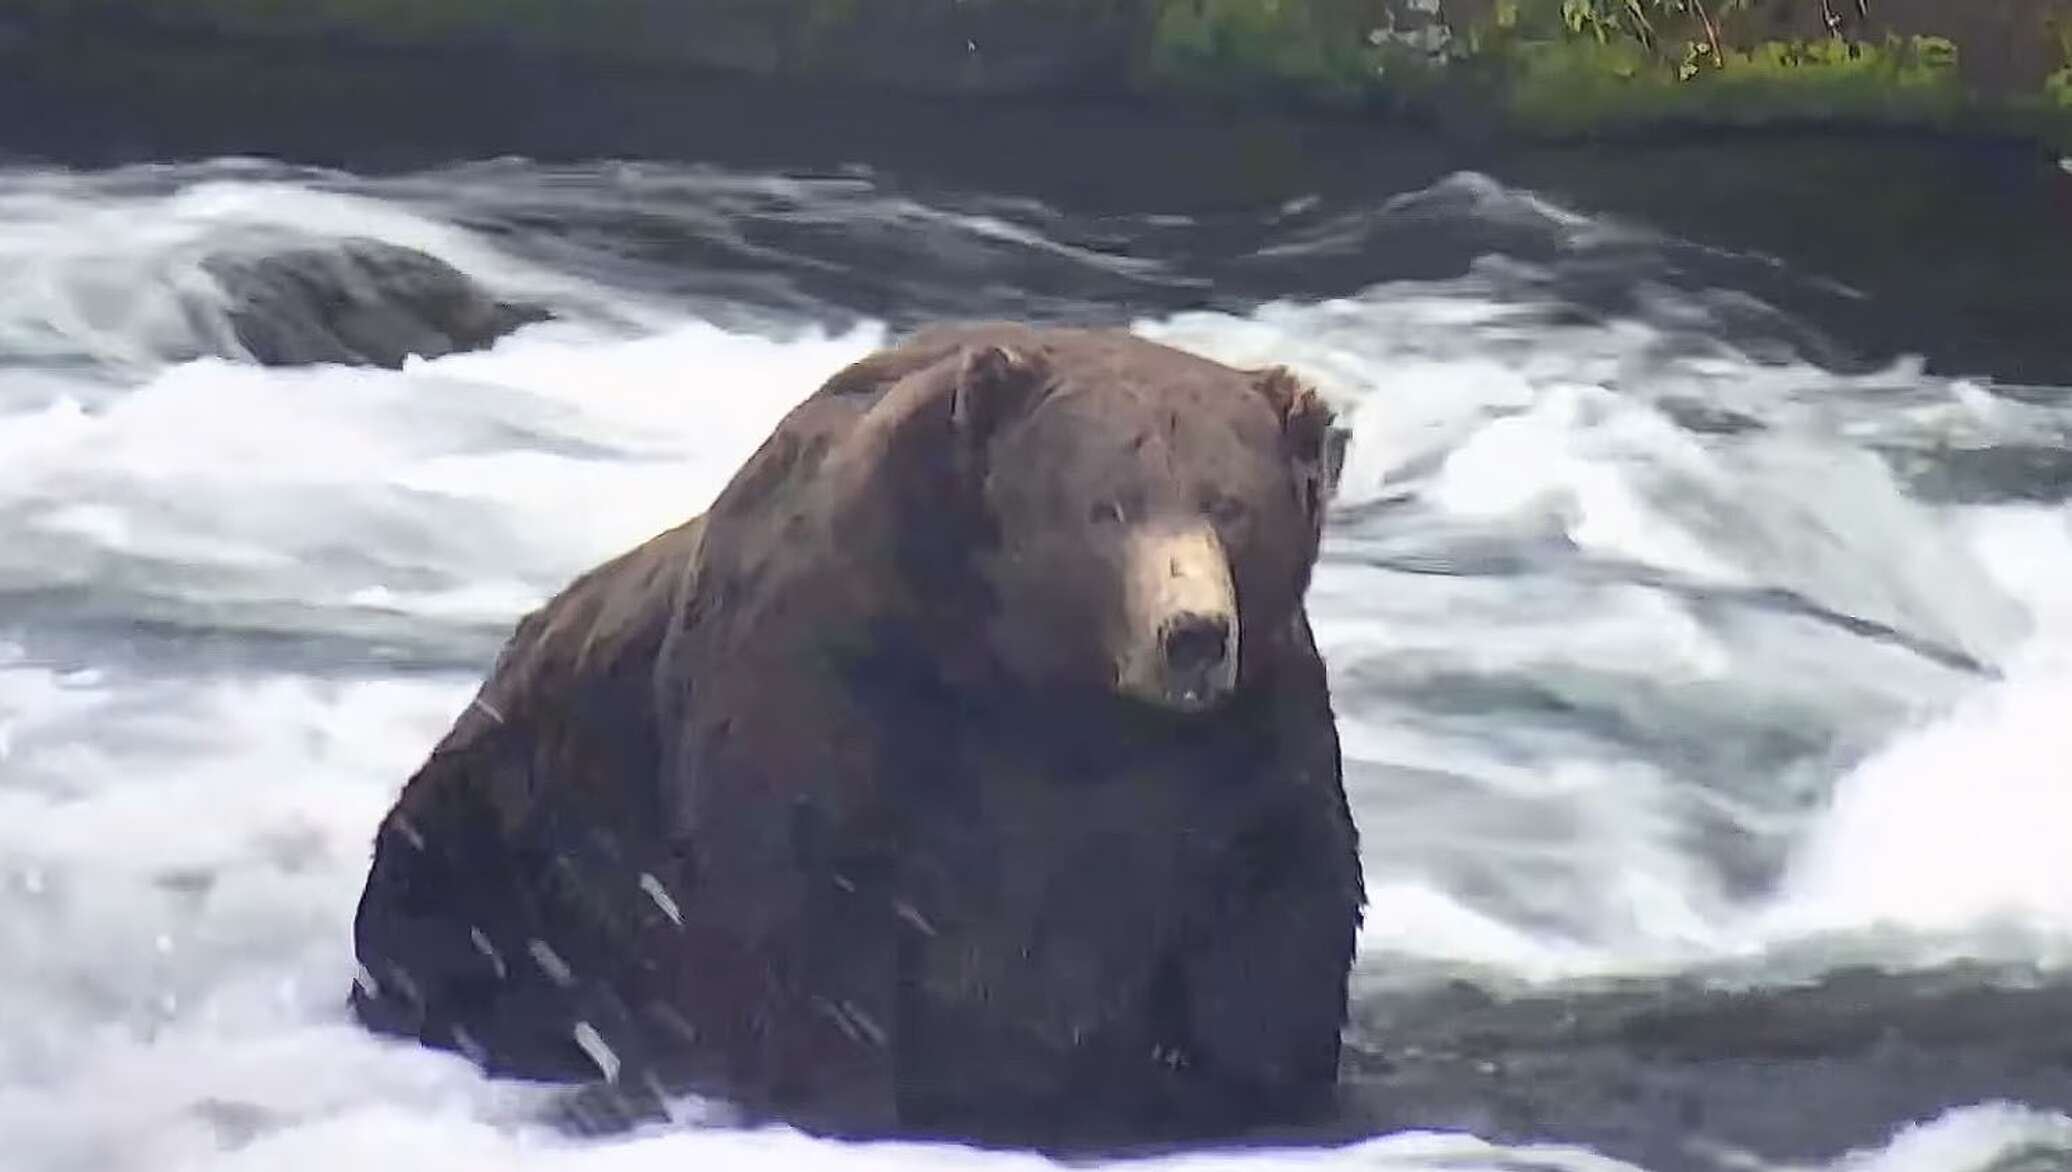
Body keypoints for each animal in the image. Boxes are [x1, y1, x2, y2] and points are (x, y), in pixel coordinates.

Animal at [350, 318, 1367, 1151]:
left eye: (1230, 504)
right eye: (1105, 506)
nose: (1191, 633)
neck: (1049, 695)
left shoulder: (1234, 757)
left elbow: (1275, 941)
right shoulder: (842, 701)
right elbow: (805, 929)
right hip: (499, 835)